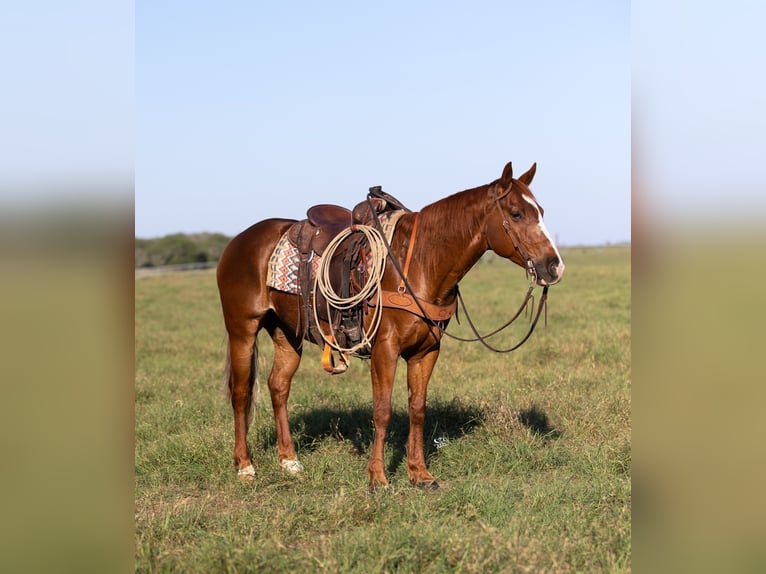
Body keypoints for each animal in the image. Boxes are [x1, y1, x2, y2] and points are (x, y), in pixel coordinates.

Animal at [216, 162, 564, 490]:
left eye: (541, 211)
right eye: (516, 213)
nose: (554, 266)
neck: (421, 262)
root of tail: (238, 242)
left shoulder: (426, 351)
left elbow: (418, 410)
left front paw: (420, 474)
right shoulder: (385, 349)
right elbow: (382, 412)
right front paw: (378, 479)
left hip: (287, 333)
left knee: (278, 386)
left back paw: (289, 461)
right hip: (242, 330)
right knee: (241, 392)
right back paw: (245, 466)